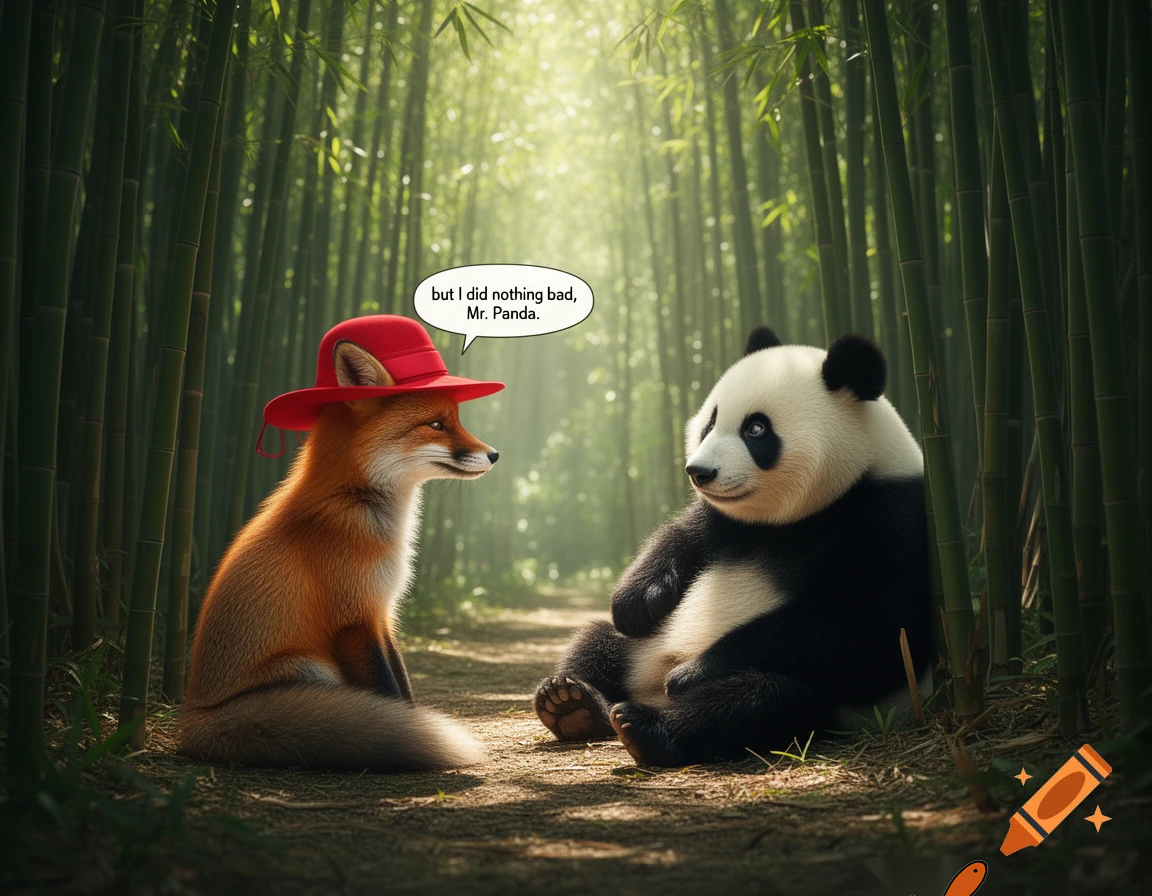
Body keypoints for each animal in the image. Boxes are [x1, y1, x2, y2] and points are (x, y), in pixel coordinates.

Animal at [179, 338, 499, 771]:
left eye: (456, 420)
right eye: (436, 424)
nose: (495, 454)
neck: (355, 504)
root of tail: (190, 720)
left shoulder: (381, 610)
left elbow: (401, 684)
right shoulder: (353, 617)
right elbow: (386, 688)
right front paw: (407, 735)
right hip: (313, 667)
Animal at [534, 326, 932, 766]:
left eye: (756, 429)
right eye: (710, 422)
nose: (699, 471)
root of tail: (647, 688)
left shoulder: (889, 519)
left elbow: (873, 627)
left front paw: (693, 672)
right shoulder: (723, 521)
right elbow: (678, 538)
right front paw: (635, 603)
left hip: (826, 700)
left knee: (759, 700)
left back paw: (646, 725)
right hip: (642, 648)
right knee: (596, 642)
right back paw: (572, 702)